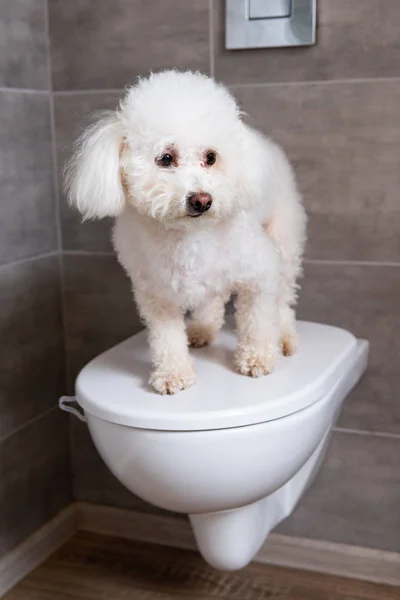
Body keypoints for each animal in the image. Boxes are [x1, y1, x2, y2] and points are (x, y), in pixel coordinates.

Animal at [65, 69, 306, 394]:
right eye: (166, 158)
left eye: (211, 157)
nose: (202, 200)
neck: (187, 236)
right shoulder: (156, 294)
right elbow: (166, 338)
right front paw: (173, 373)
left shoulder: (260, 272)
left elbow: (258, 320)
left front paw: (257, 358)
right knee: (214, 297)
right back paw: (202, 328)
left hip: (283, 240)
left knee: (283, 300)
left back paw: (285, 337)